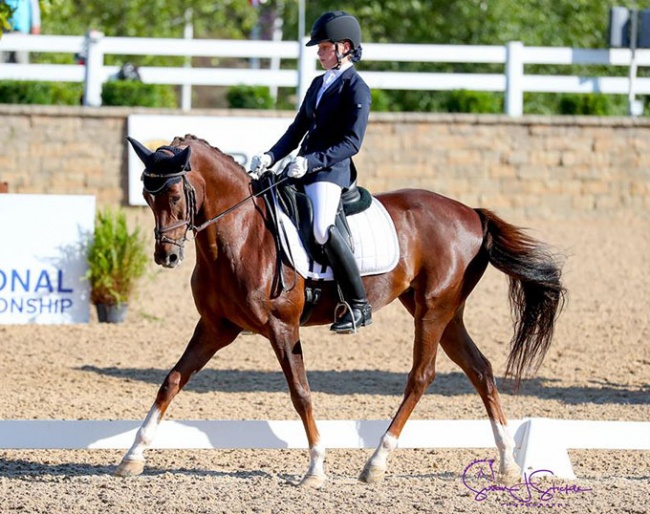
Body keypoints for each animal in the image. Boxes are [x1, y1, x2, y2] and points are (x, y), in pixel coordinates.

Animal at [117, 132, 560, 484]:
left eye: (175, 195)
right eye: (146, 197)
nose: (166, 257)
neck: (240, 235)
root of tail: (472, 213)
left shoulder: (282, 328)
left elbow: (301, 393)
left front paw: (315, 469)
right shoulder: (214, 327)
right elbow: (172, 380)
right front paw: (132, 456)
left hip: (433, 311)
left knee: (421, 376)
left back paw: (377, 462)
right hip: (445, 313)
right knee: (480, 369)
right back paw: (507, 464)